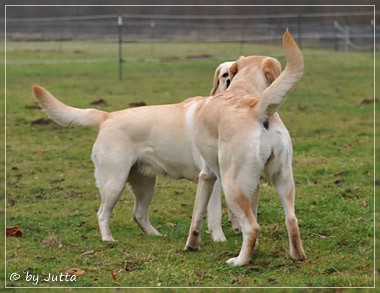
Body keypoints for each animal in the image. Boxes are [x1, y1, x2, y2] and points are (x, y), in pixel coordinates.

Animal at [184, 29, 306, 264]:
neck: (244, 89)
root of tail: (258, 111)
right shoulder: (254, 184)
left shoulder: (207, 176)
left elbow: (197, 216)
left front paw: (191, 246)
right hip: (284, 179)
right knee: (291, 220)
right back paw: (297, 256)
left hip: (232, 185)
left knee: (253, 227)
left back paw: (239, 261)